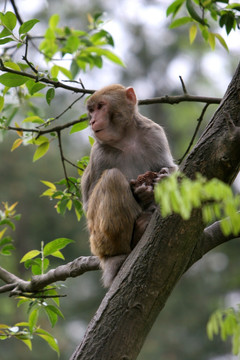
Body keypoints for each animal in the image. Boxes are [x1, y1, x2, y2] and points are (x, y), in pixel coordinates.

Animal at [80, 83, 176, 286]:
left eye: (100, 106)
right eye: (91, 111)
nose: (93, 121)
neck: (126, 138)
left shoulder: (154, 133)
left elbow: (170, 167)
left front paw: (164, 178)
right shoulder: (99, 153)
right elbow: (88, 202)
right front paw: (140, 193)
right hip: (97, 239)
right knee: (112, 178)